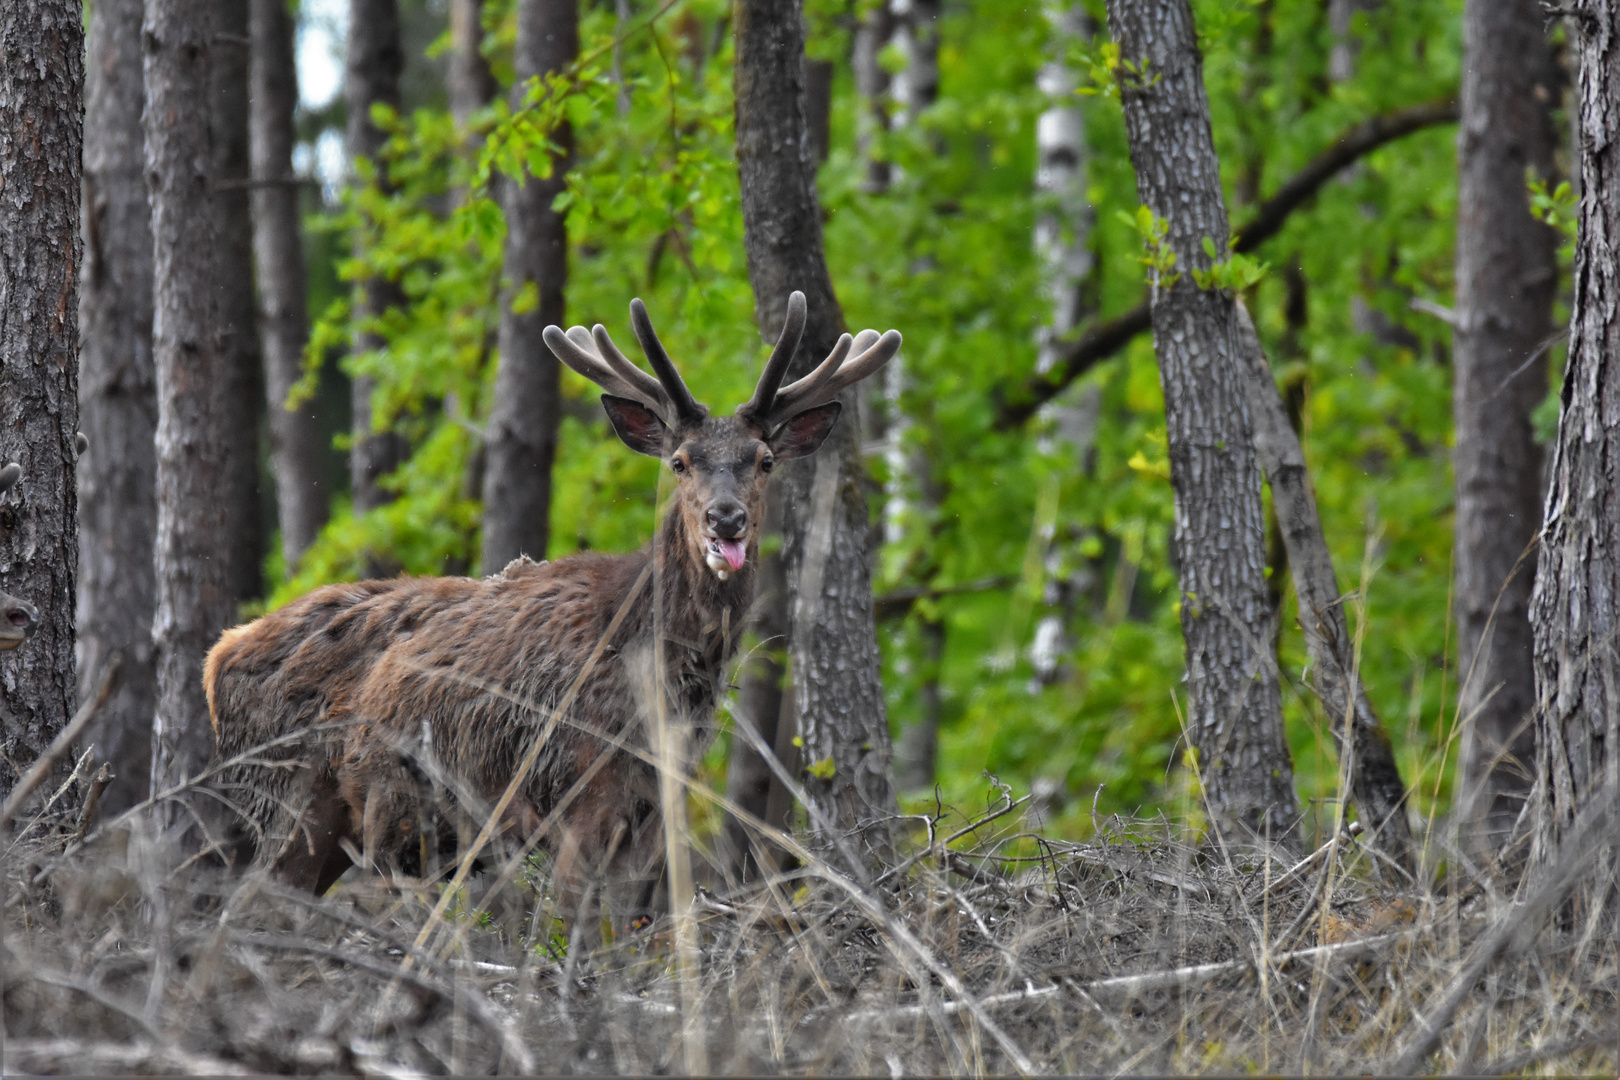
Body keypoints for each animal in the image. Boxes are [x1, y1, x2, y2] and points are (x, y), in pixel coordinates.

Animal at [202, 293, 900, 932]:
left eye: (764, 461)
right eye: (679, 462)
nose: (724, 519)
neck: (660, 678)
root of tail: (216, 658)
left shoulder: (655, 804)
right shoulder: (581, 786)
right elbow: (575, 930)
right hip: (286, 795)